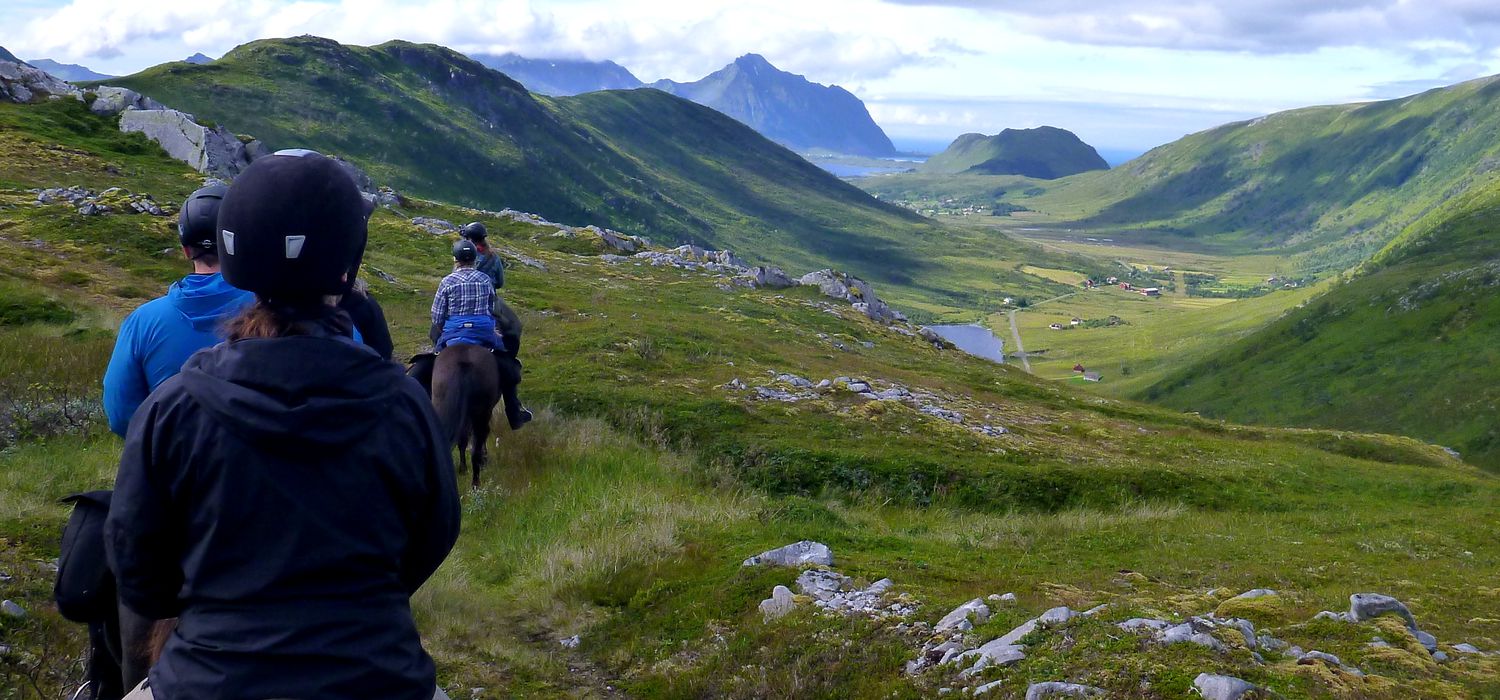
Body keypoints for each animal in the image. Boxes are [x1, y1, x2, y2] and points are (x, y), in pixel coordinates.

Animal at [432, 343, 501, 488]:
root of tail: (463, 363)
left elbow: (462, 440)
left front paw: (463, 468)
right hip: (481, 414)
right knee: (478, 441)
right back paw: (475, 482)